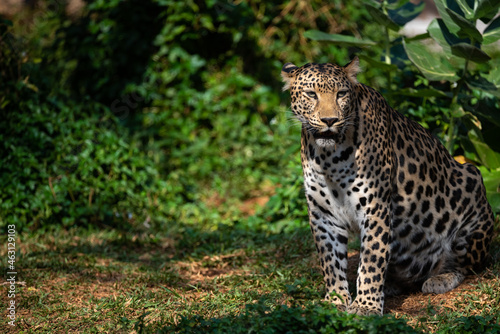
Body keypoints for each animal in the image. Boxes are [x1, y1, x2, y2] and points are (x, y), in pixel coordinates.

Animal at [282, 56, 496, 316]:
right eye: (311, 94)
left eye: (341, 94)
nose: (330, 120)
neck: (329, 157)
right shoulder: (323, 214)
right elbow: (330, 262)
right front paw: (335, 300)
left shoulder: (375, 208)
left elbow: (371, 260)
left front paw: (366, 306)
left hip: (471, 186)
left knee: (467, 266)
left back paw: (440, 279)